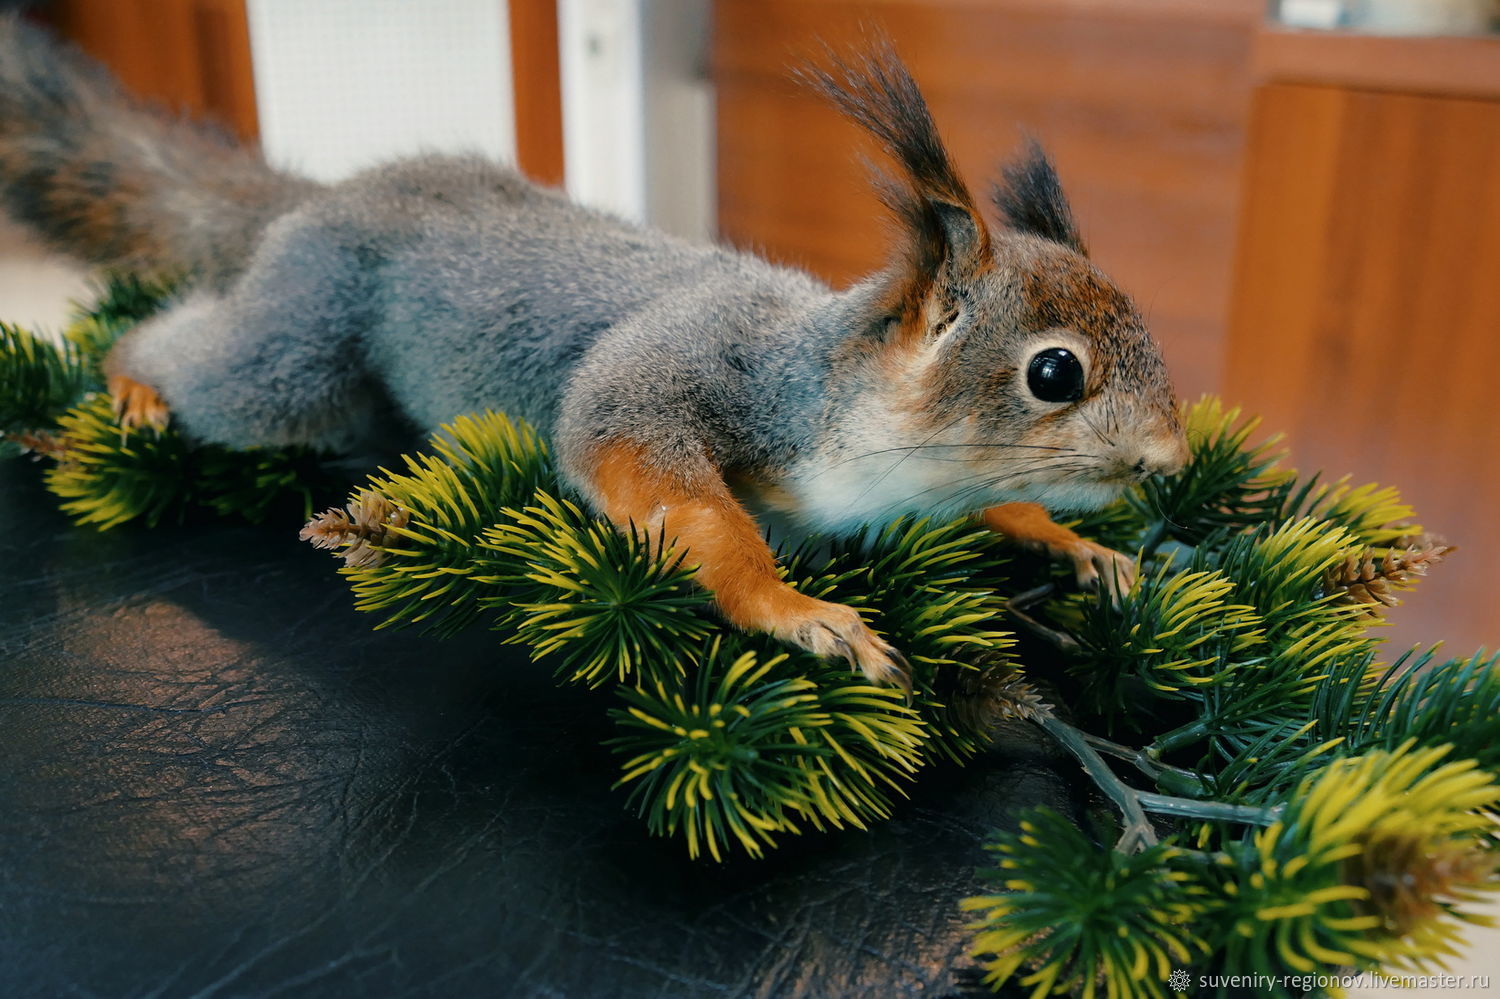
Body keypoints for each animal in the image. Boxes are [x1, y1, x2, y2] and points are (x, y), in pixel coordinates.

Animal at [2, 19, 1182, 693]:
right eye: (1054, 372)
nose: (1171, 460)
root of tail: (322, 199)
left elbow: (999, 504)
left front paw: (1074, 545)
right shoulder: (679, 368)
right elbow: (655, 474)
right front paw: (792, 611)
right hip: (298, 350)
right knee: (207, 356)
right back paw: (133, 384)